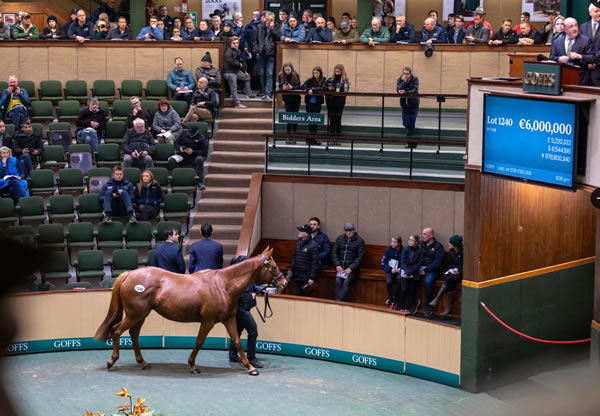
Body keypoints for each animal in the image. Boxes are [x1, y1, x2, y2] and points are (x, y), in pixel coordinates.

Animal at [95, 247, 288, 376]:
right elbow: (199, 342)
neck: (223, 285)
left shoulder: (229, 319)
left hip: (140, 315)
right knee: (117, 330)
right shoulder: (208, 321)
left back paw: (143, 363)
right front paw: (193, 366)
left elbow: (237, 341)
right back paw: (112, 361)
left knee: (134, 334)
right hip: (135, 315)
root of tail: (129, 274)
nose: (284, 283)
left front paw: (251, 367)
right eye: (273, 266)